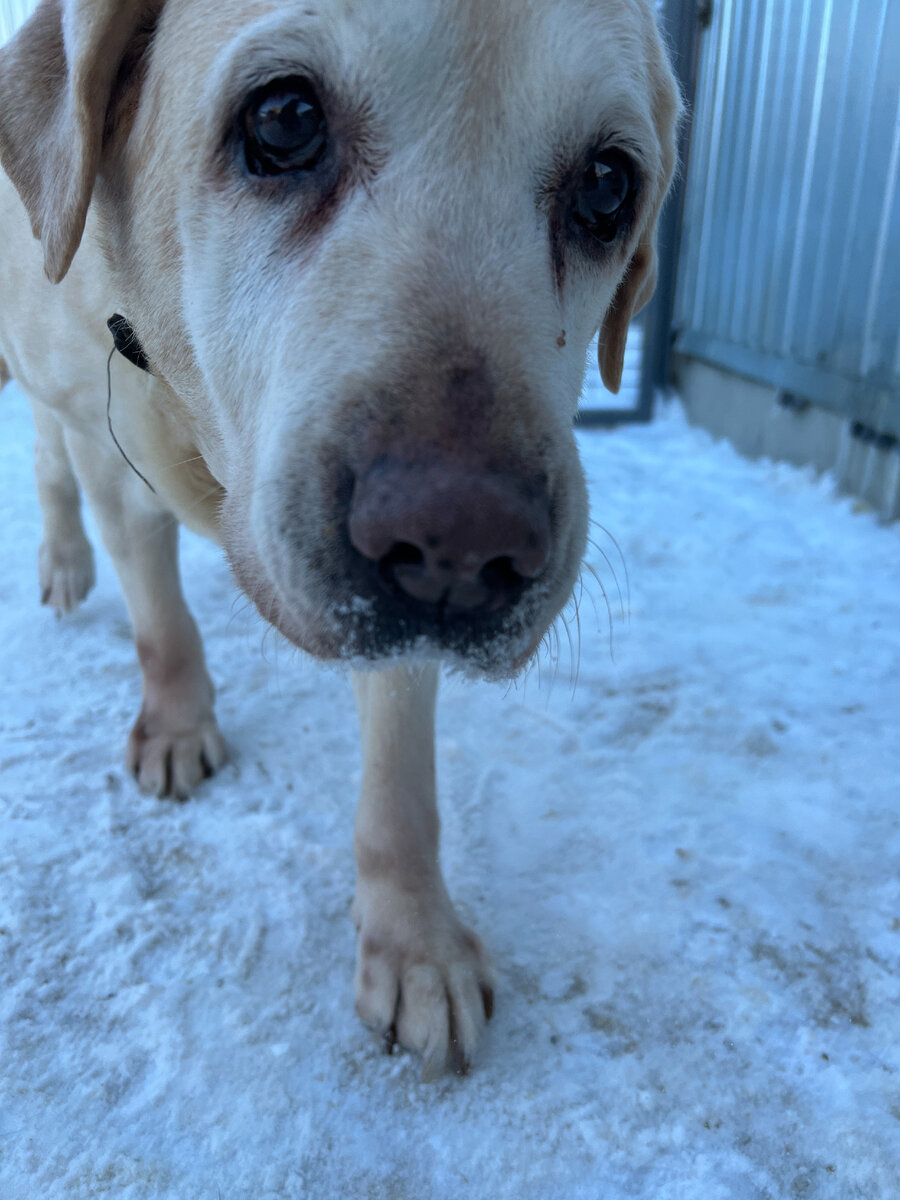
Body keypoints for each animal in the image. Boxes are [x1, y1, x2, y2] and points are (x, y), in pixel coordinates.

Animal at [0, 0, 676, 1075]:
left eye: (609, 185)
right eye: (283, 120)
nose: (460, 544)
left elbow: (401, 771)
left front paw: (416, 941)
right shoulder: (115, 453)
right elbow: (160, 620)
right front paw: (178, 724)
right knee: (46, 456)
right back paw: (63, 562)